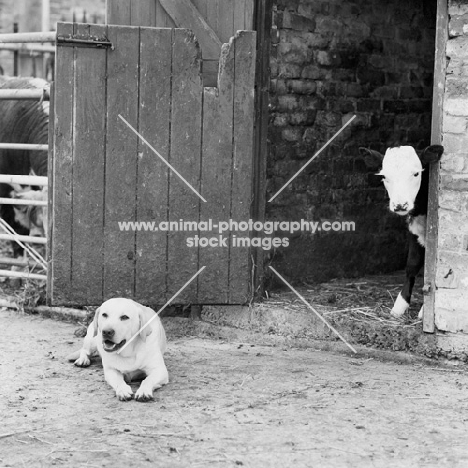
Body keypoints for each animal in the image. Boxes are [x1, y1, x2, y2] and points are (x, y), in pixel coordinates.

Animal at [360, 144, 444, 318]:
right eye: (384, 176)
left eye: (416, 173)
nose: (400, 205)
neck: (422, 212)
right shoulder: (414, 230)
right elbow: (412, 264)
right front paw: (400, 304)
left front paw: (424, 310)